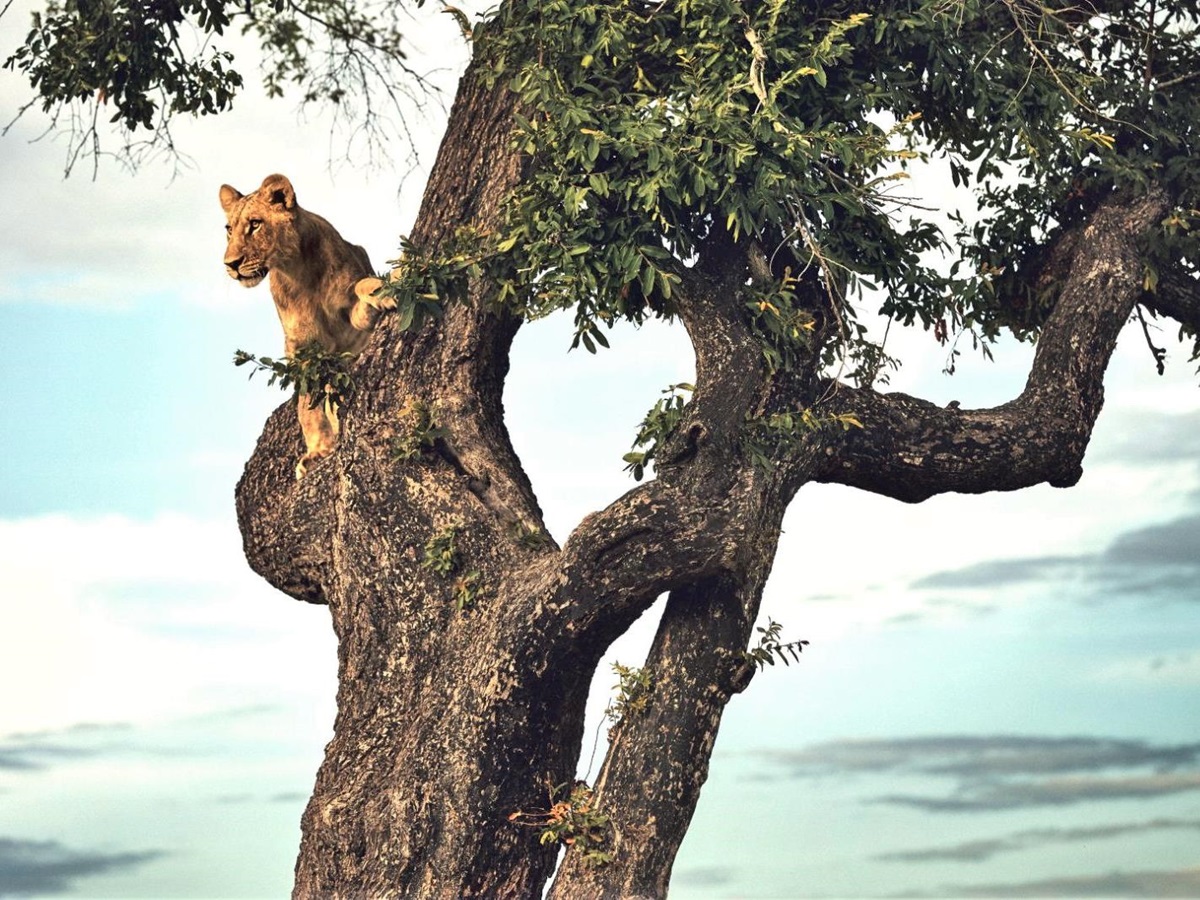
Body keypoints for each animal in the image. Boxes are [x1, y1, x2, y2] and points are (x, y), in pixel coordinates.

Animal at [220, 174, 391, 479]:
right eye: (229, 229)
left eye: (255, 224)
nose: (231, 264)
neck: (298, 271)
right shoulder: (299, 348)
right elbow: (306, 404)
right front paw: (318, 450)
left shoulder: (353, 322)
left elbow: (363, 286)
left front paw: (384, 291)